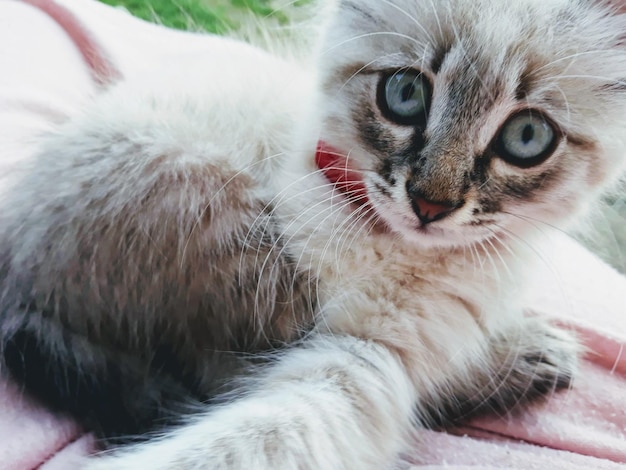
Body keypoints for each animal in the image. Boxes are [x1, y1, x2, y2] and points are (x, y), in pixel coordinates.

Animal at [1, 0, 624, 468]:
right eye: (405, 94)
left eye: (527, 136)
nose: (430, 204)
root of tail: (13, 271)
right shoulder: (360, 358)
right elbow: (253, 435)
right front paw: (506, 352)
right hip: (212, 209)